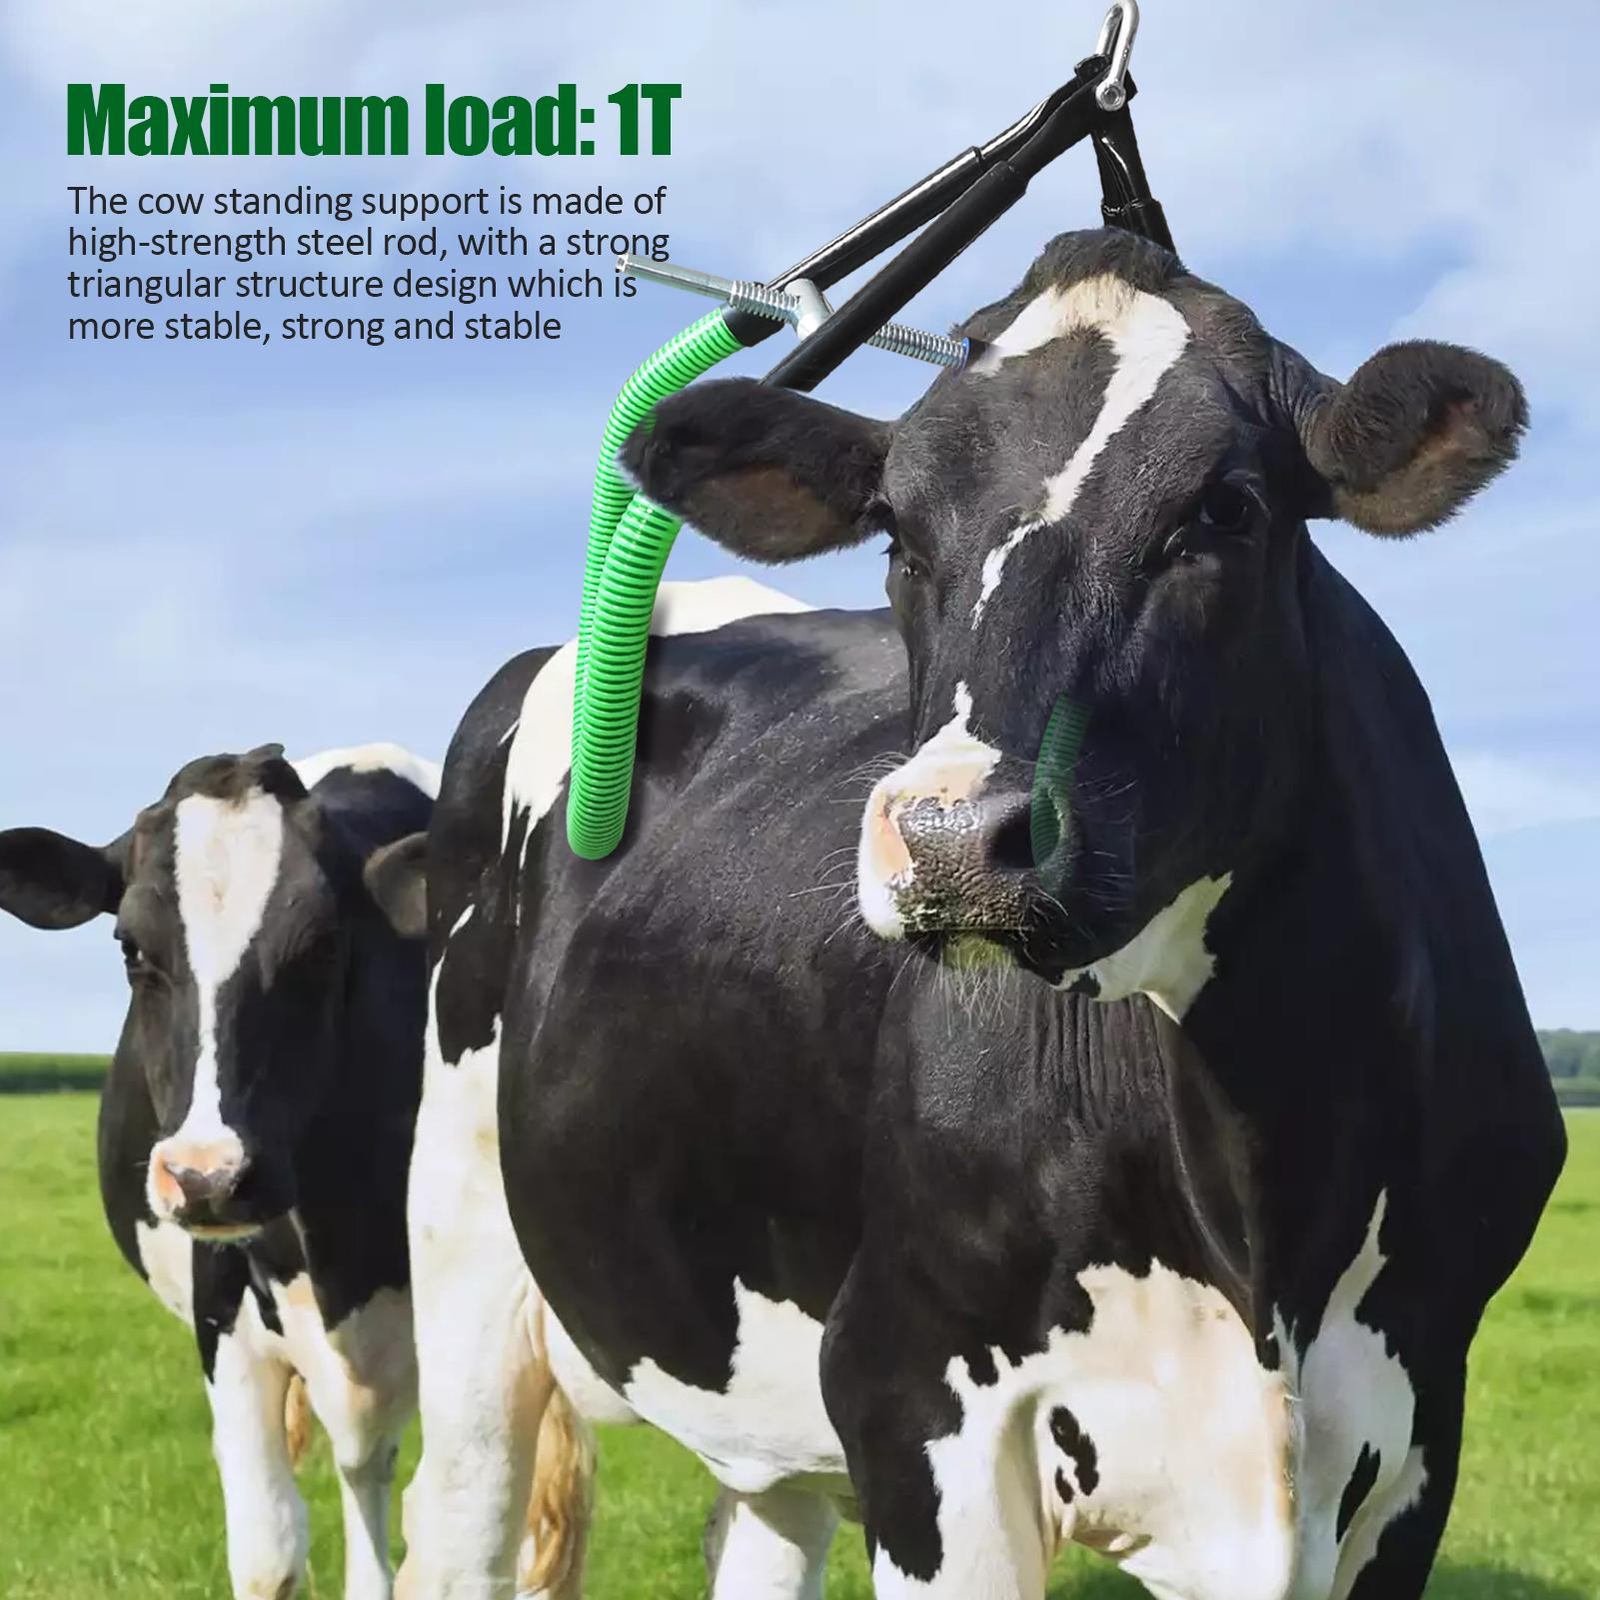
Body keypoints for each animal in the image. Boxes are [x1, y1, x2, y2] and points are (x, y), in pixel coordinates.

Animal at [396, 228, 1565, 1600]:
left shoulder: (1413, 1422)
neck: (1259, 1211)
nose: (954, 838)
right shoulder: (908, 1386)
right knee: (451, 1515)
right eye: (896, 528)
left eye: (1223, 508)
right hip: (464, 1256)